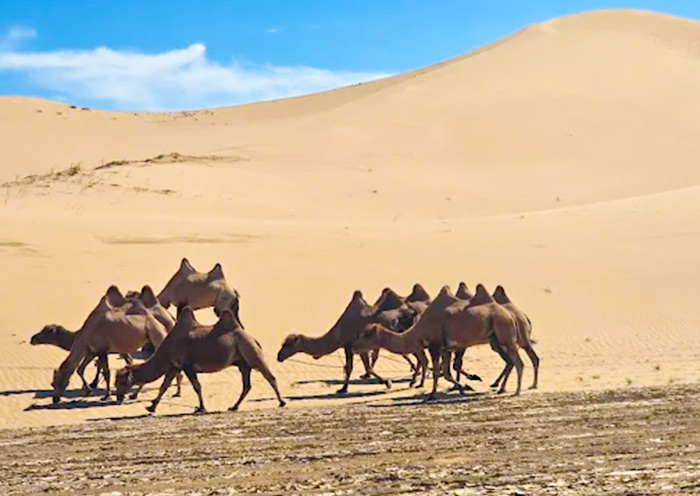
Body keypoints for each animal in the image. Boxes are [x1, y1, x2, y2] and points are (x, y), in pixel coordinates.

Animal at [115, 307, 285, 413]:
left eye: (122, 382)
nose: (118, 398)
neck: (167, 348)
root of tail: (253, 338)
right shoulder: (175, 366)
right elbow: (164, 386)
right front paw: (151, 407)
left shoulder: (187, 366)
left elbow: (197, 386)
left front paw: (201, 408)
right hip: (242, 363)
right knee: (247, 385)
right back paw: (234, 407)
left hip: (251, 353)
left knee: (269, 376)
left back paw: (282, 402)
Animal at [277, 289, 416, 394]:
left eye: (287, 345)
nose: (279, 356)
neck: (338, 332)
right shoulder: (359, 348)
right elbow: (367, 367)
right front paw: (385, 381)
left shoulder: (349, 345)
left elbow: (351, 367)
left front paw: (343, 388)